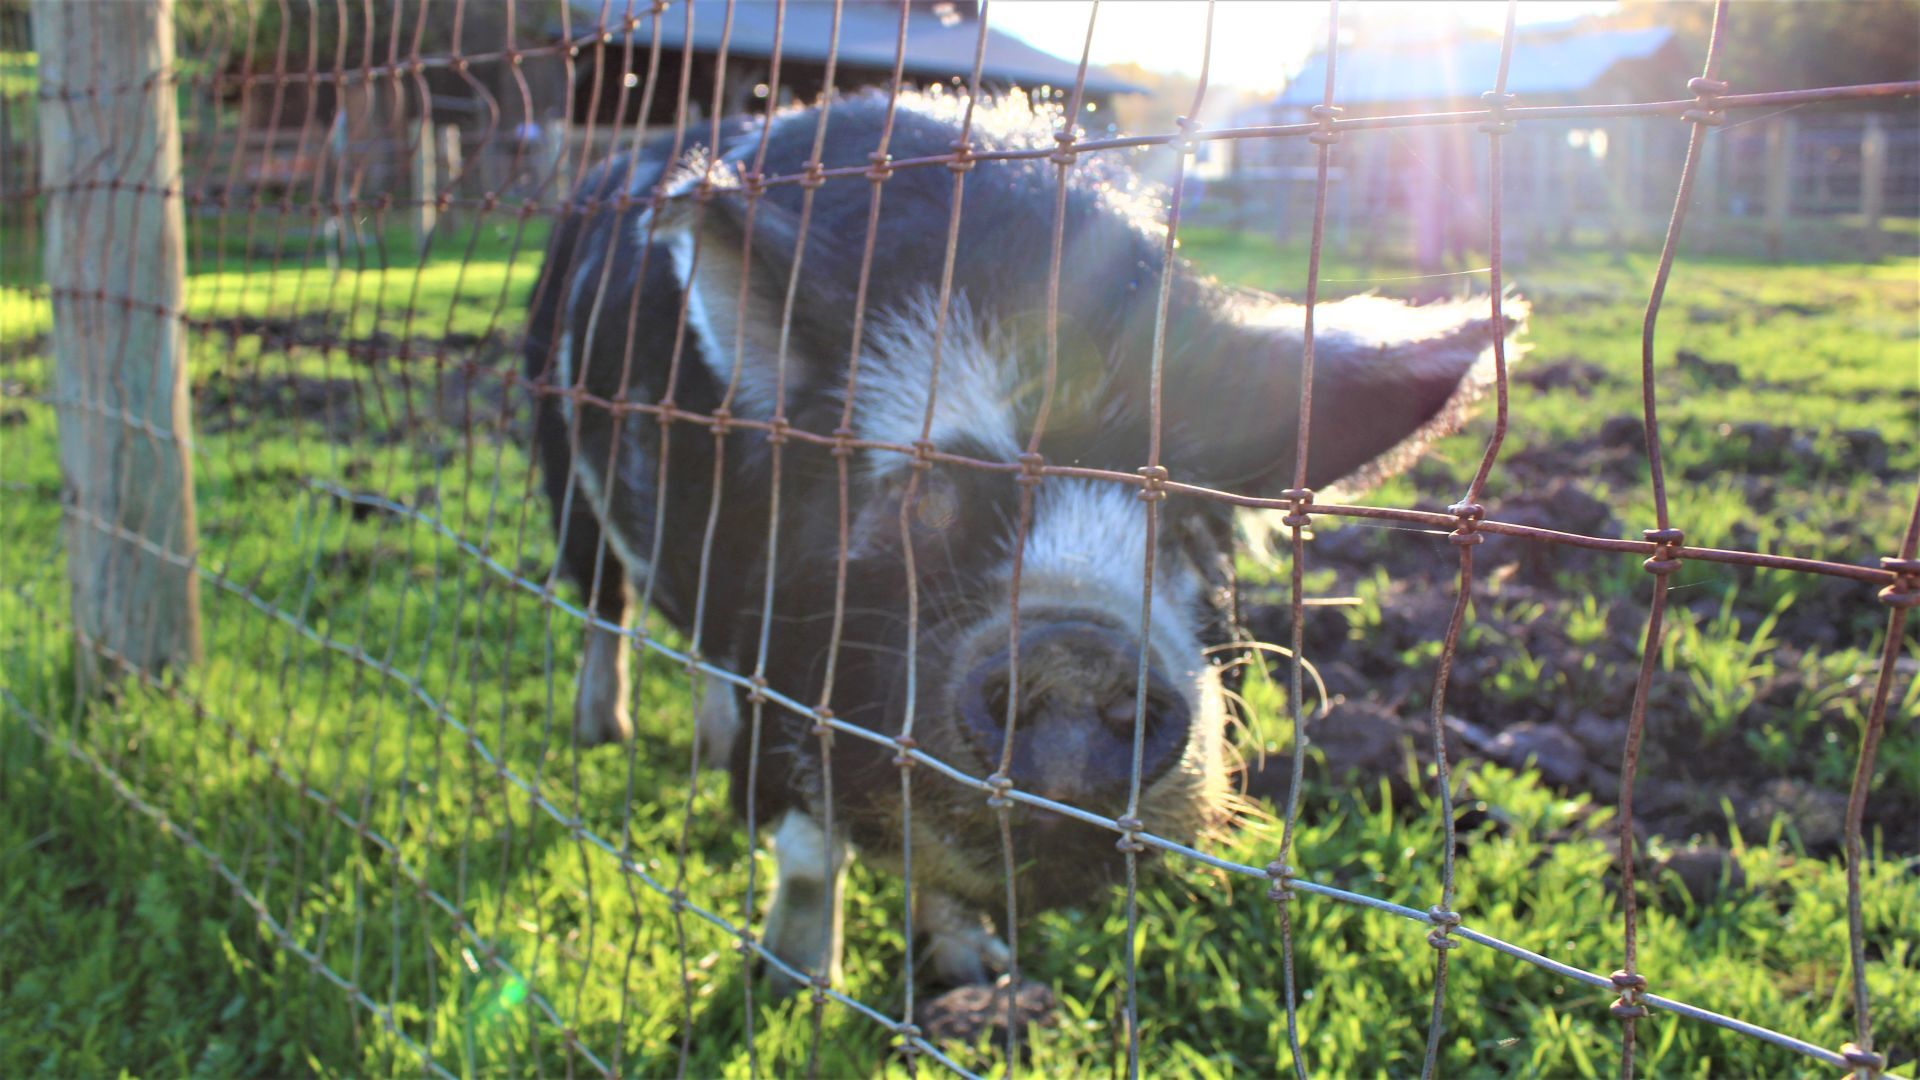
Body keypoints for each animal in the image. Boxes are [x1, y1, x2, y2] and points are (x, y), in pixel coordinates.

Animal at [524, 89, 1521, 994]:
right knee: (603, 601)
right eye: (922, 490)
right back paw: (603, 733)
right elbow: (810, 841)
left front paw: (977, 974)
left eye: (1193, 525)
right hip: (557, 455)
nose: (1078, 651)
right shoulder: (781, 643)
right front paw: (789, 982)